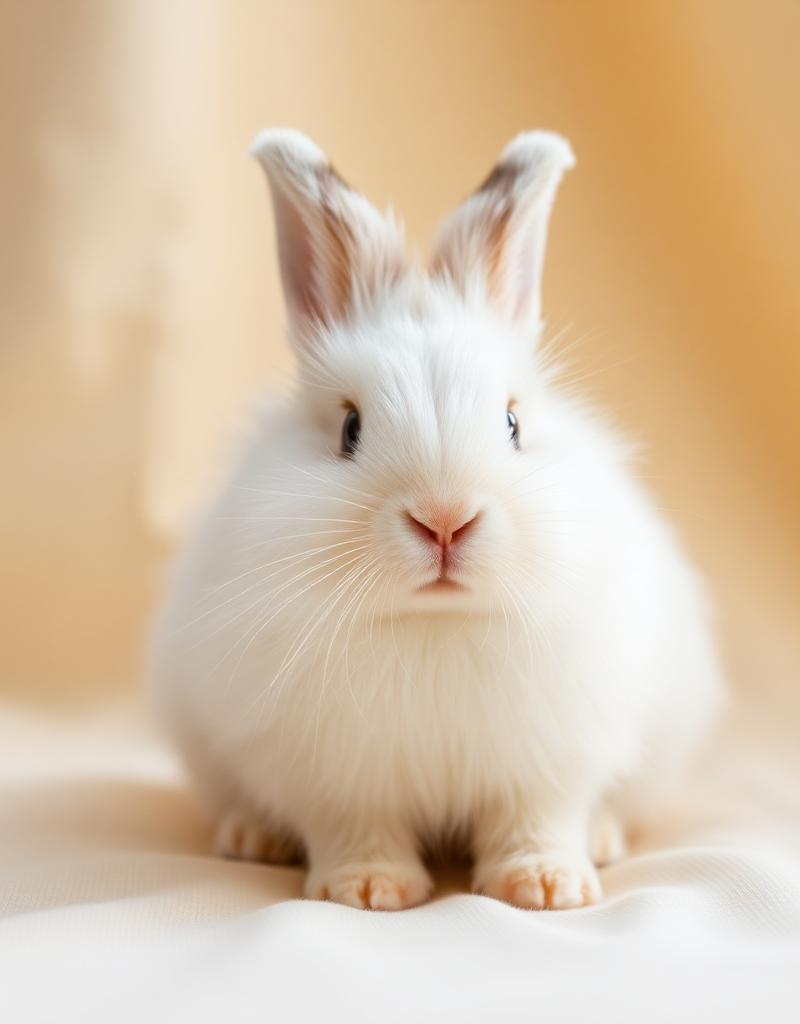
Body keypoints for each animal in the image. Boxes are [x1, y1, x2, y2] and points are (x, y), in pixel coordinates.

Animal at [151, 129, 723, 911]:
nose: (445, 521)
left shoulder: (549, 763)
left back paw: (602, 843)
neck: (435, 622)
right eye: (349, 430)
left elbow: (538, 817)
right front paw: (369, 890)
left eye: (513, 424)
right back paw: (252, 838)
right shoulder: (334, 776)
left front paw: (545, 887)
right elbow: (356, 827)